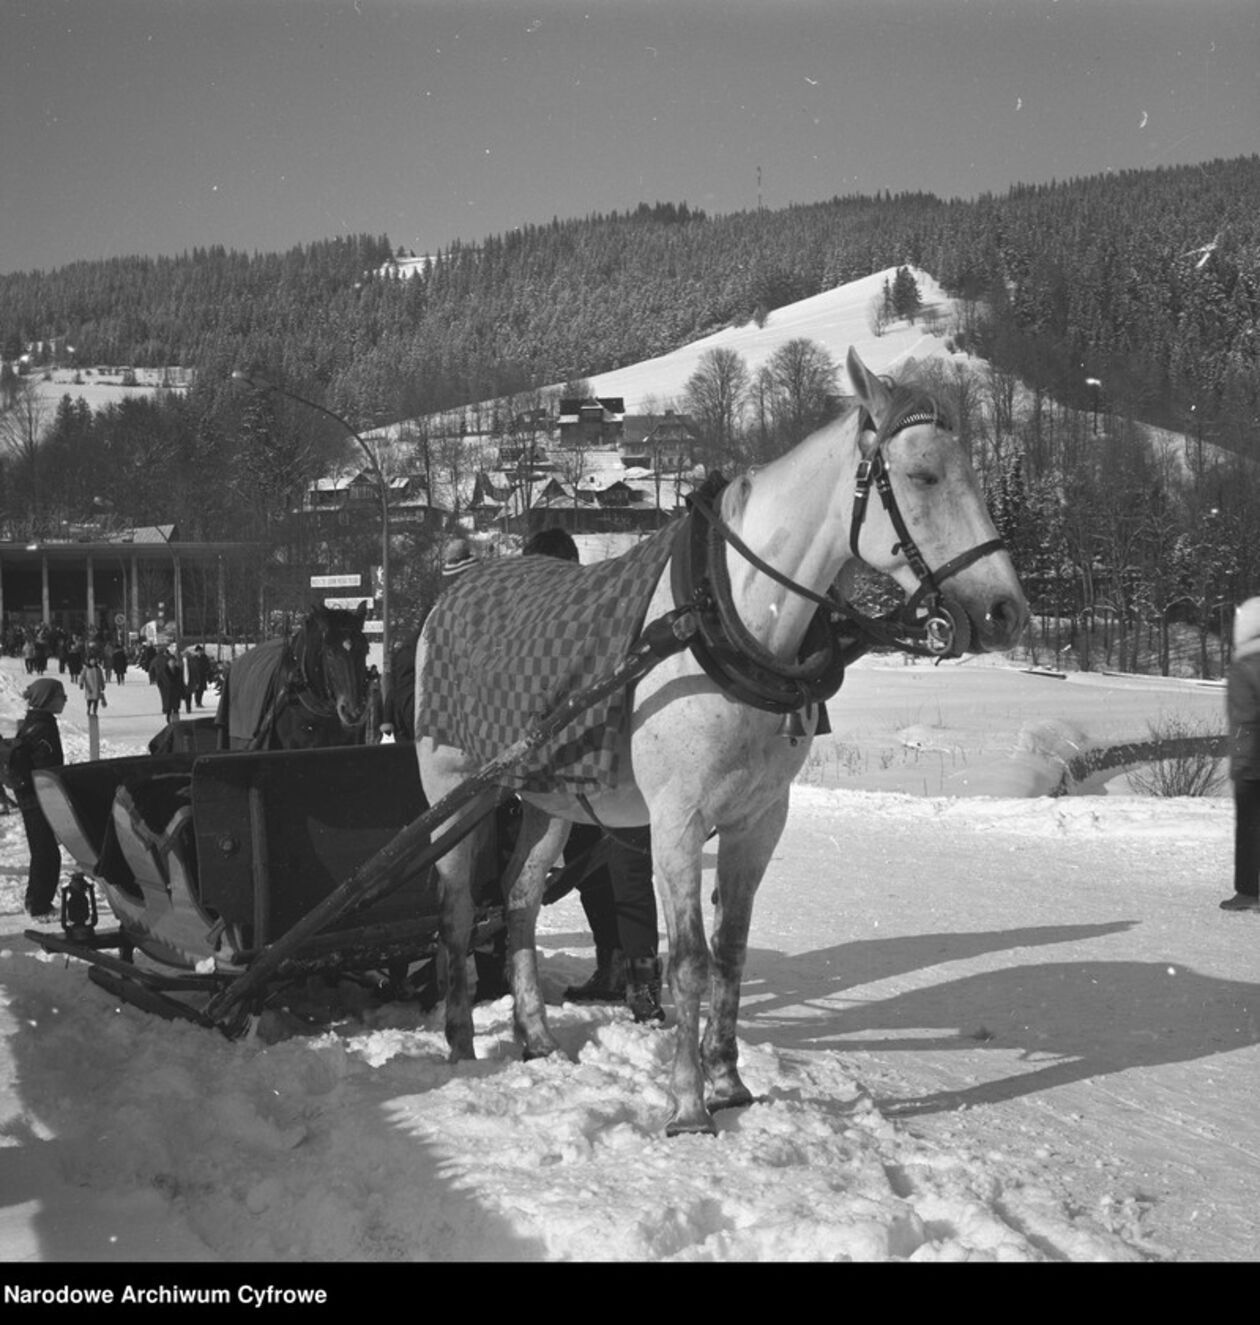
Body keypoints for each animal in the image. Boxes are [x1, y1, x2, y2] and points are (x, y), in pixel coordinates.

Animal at [413, 347, 1022, 1134]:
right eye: (923, 476)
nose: (1008, 610)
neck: (727, 619)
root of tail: (451, 592)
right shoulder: (676, 820)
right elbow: (688, 961)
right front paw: (688, 1101)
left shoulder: (758, 819)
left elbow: (730, 950)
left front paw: (729, 1079)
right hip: (457, 791)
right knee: (458, 909)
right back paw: (460, 1043)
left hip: (550, 795)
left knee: (518, 899)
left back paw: (536, 1036)